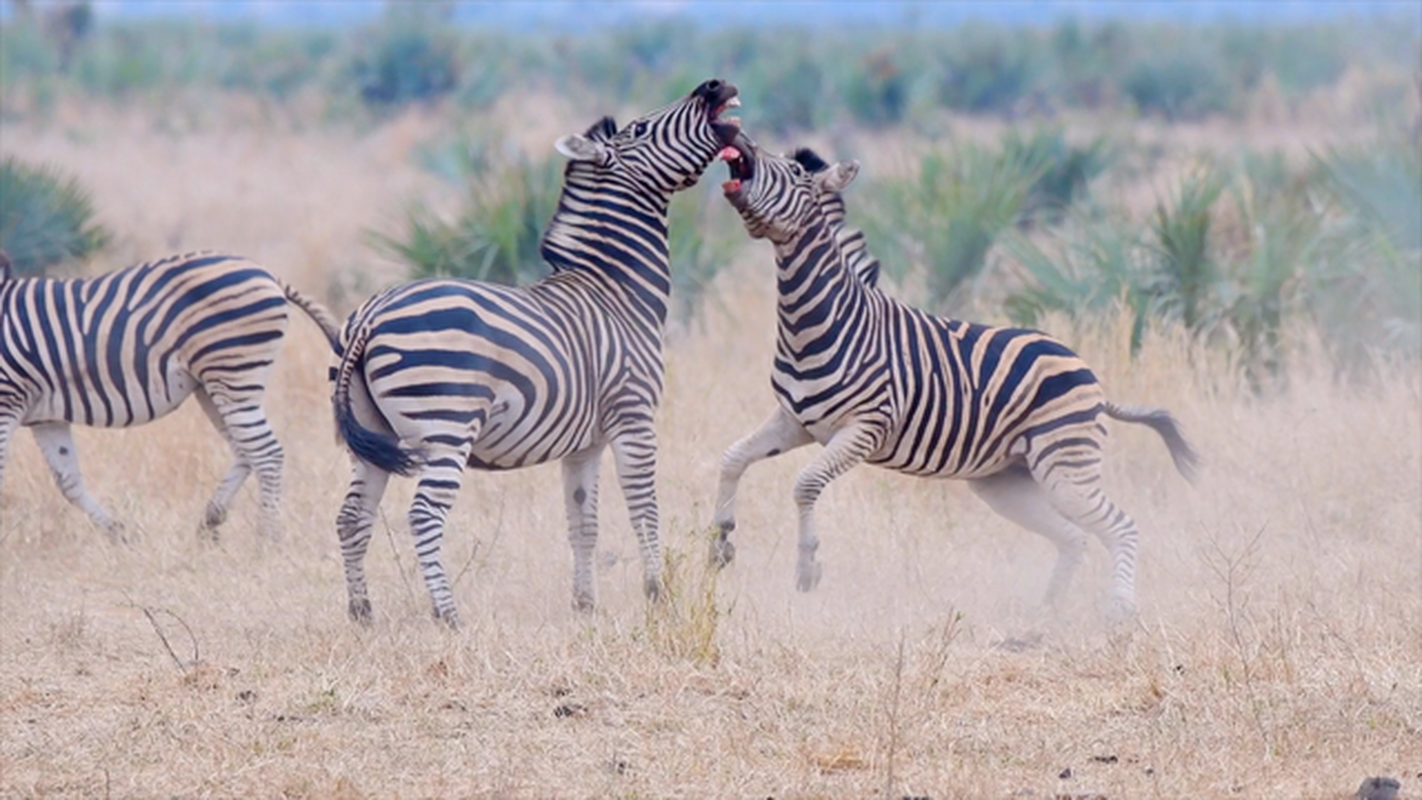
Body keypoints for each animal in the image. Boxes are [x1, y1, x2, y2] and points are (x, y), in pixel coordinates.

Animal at [0, 252, 344, 545]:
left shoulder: (8, 400)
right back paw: (210, 522)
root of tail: (266, 272)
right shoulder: (46, 417)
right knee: (245, 450)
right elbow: (69, 481)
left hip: (233, 375)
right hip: (212, 386)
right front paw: (118, 533)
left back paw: (266, 539)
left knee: (266, 452)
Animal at [705, 134, 1194, 616]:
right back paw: (1045, 614)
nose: (737, 137)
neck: (820, 321)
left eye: (793, 172)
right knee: (1074, 536)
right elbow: (732, 458)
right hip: (1006, 481)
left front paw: (807, 567)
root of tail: (1090, 375)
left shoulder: (865, 427)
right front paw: (720, 542)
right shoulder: (795, 420)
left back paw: (1119, 610)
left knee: (1121, 525)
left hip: (1064, 466)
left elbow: (805, 484)